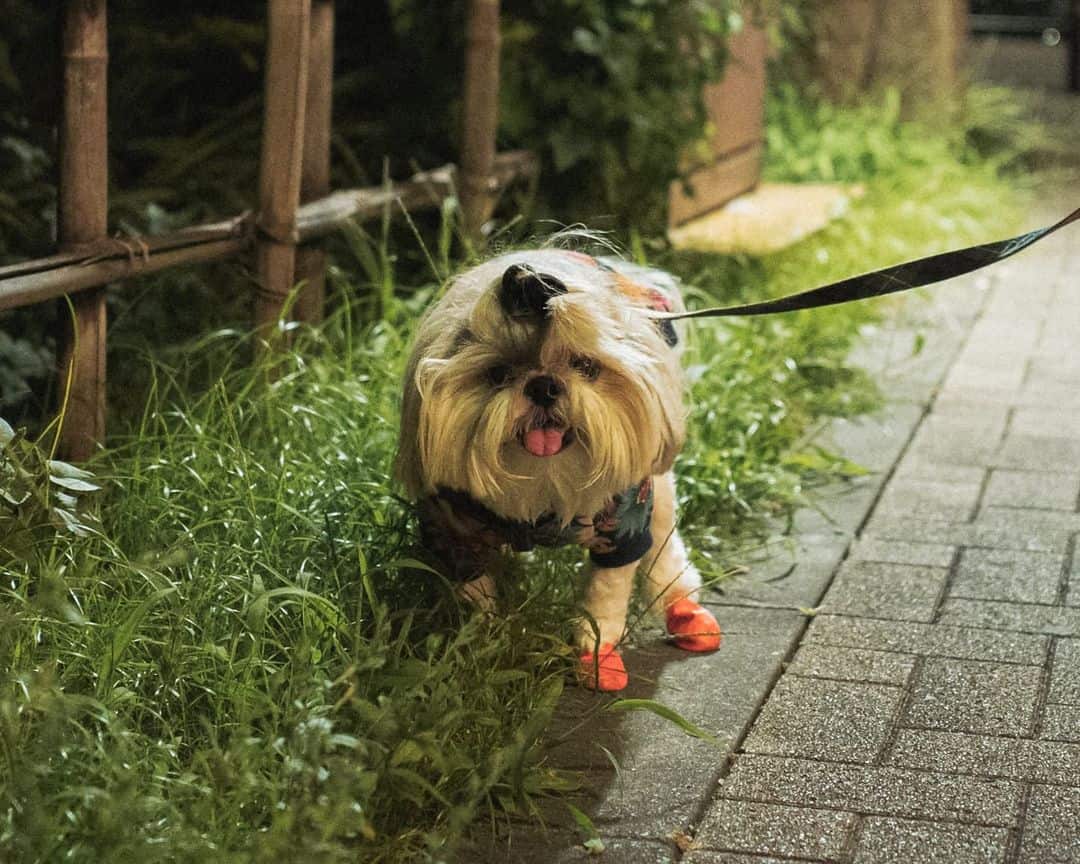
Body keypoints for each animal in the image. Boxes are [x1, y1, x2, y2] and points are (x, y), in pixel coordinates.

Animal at [393, 246, 721, 691]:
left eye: (585, 366)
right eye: (498, 373)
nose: (544, 385)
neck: (544, 483)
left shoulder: (623, 524)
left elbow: (606, 597)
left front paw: (597, 654)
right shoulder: (453, 528)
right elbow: (476, 594)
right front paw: (482, 644)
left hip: (655, 484)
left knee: (665, 545)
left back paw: (683, 608)